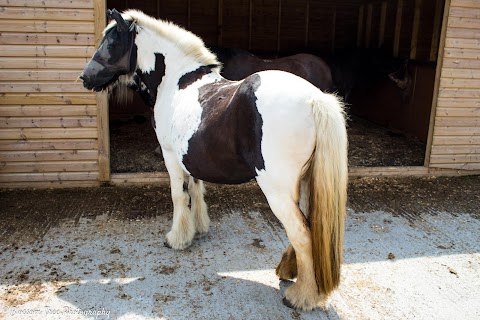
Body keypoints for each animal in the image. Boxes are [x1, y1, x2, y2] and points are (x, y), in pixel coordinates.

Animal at [80, 8, 346, 312]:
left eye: (112, 41)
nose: (85, 77)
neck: (177, 82)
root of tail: (315, 99)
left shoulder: (171, 156)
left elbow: (179, 195)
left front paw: (177, 238)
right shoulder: (191, 157)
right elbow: (196, 190)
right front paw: (198, 229)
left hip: (277, 191)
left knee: (300, 233)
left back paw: (301, 296)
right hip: (303, 183)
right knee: (307, 225)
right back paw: (289, 271)